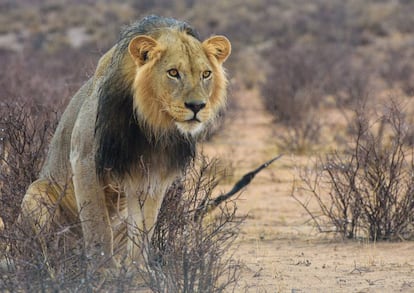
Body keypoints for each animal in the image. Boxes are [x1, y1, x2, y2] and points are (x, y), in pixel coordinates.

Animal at [19, 15, 231, 266]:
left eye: (206, 74)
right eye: (173, 72)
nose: (197, 106)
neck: (151, 124)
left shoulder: (154, 174)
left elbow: (144, 229)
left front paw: (139, 272)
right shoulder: (84, 159)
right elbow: (98, 227)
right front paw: (103, 271)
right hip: (37, 192)